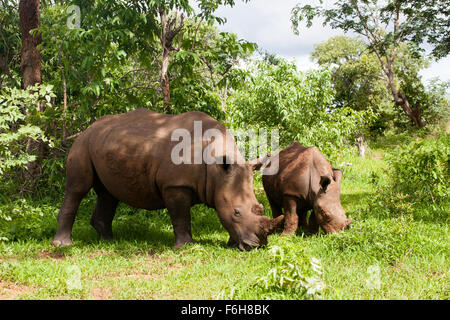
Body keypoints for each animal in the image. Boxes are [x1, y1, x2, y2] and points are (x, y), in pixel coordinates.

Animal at [52, 109, 284, 251]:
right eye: (236, 212)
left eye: (259, 208)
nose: (257, 246)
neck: (216, 167)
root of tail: (88, 127)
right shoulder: (175, 184)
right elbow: (181, 216)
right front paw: (186, 246)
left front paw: (232, 244)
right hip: (83, 143)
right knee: (77, 188)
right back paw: (63, 245)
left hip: (104, 143)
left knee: (108, 194)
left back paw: (109, 242)